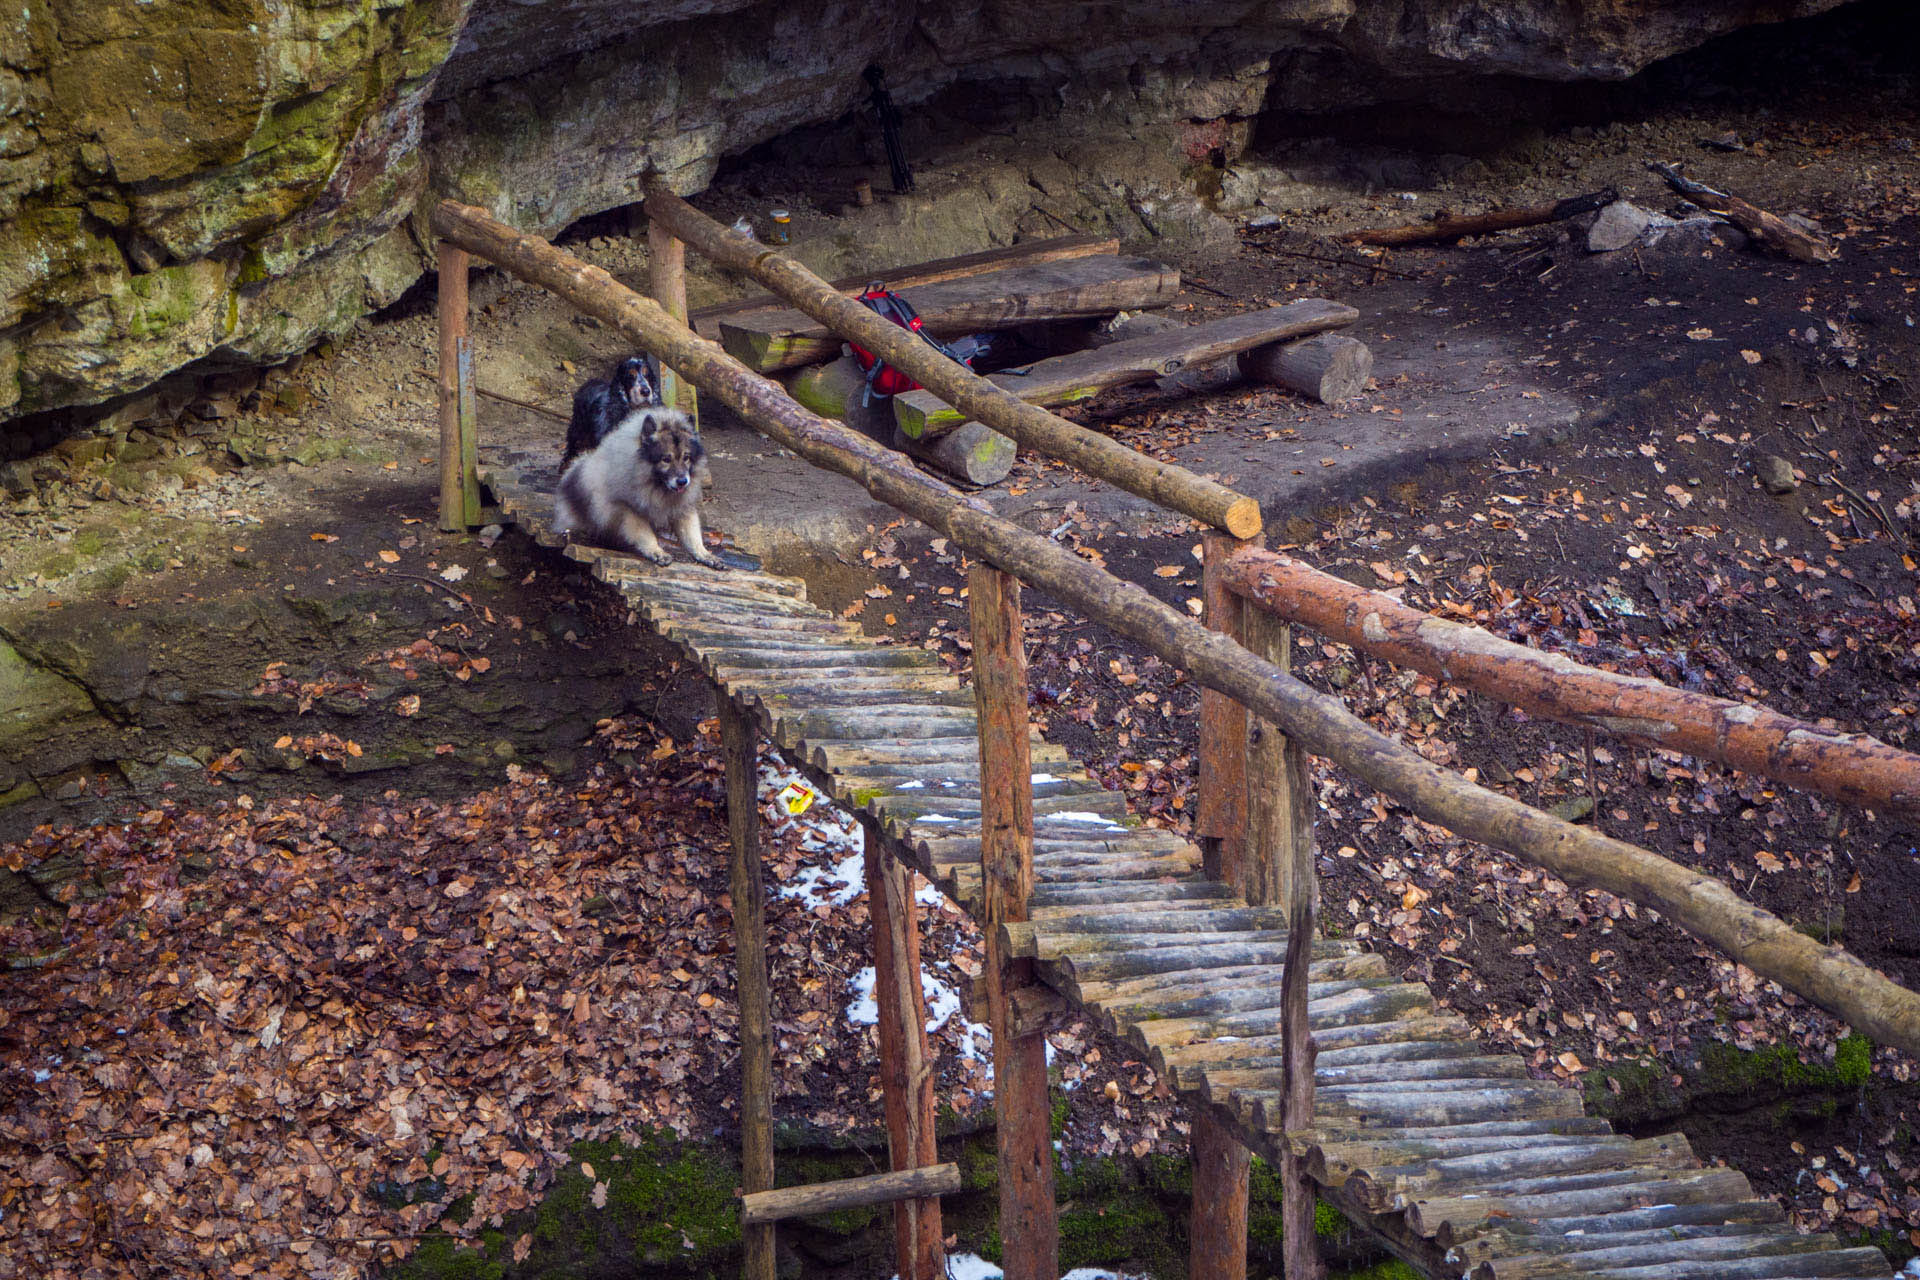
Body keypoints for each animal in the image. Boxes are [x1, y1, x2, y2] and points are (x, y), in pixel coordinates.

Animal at [560, 410, 729, 571]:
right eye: (666, 459)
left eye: (686, 457)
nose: (682, 482)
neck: (656, 486)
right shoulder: (630, 511)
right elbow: (645, 534)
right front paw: (656, 551)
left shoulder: (682, 509)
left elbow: (692, 536)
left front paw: (705, 554)